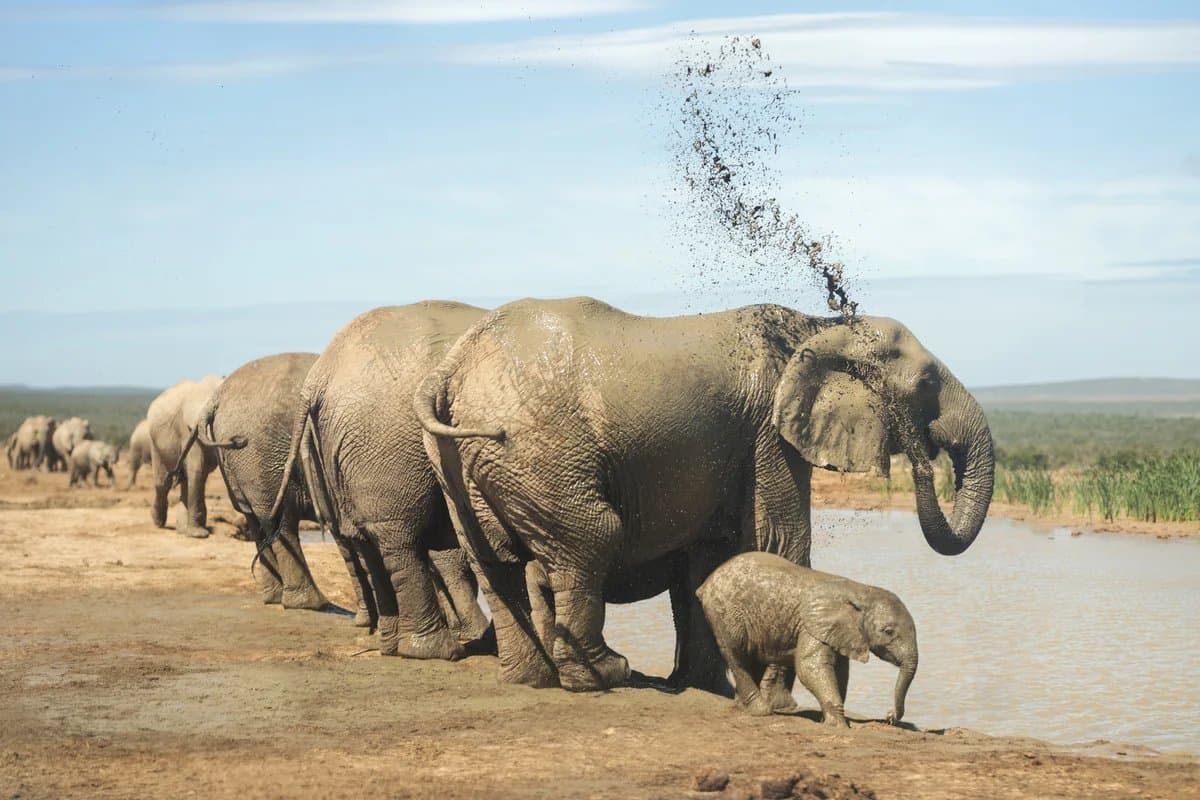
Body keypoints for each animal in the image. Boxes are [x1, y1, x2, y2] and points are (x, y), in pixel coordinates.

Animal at [146, 376, 223, 538]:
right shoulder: (189, 429)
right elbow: (197, 470)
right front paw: (199, 535)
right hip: (155, 443)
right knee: (163, 483)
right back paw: (158, 522)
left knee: (186, 480)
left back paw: (181, 529)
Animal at [270, 302, 491, 658]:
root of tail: (317, 377)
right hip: (384, 443)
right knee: (400, 539)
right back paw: (440, 650)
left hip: (341, 450)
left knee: (365, 539)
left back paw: (394, 645)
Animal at [416, 298, 993, 693]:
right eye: (925, 384)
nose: (922, 455)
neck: (818, 326)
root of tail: (453, 369)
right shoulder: (768, 434)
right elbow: (779, 543)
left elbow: (710, 560)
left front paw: (704, 686)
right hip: (539, 450)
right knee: (592, 538)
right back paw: (604, 675)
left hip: (460, 461)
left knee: (495, 562)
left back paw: (531, 679)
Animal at [697, 552, 917, 728]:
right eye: (888, 631)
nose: (889, 716)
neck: (861, 591)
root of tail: (705, 584)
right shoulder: (811, 626)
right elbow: (810, 667)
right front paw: (838, 726)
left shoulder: (836, 632)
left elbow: (840, 671)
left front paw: (827, 720)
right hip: (724, 614)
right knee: (737, 656)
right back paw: (761, 711)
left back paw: (743, 708)